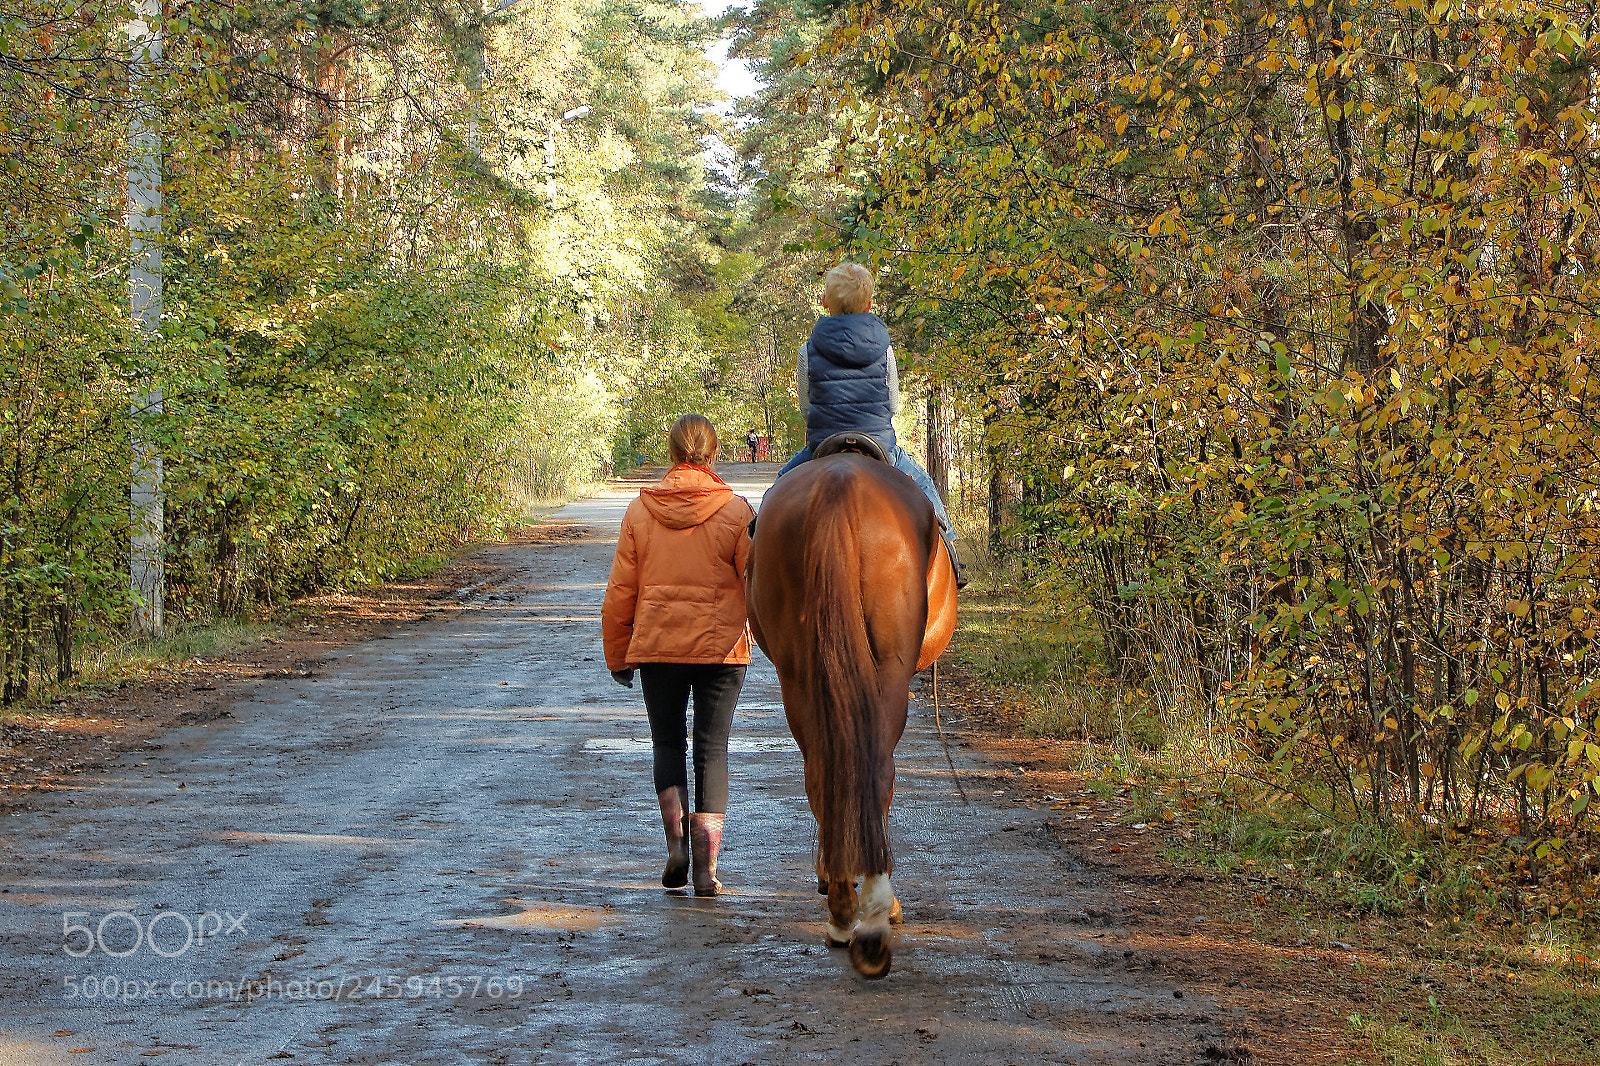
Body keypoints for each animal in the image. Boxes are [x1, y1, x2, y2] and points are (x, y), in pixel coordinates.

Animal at [746, 445, 957, 978]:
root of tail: (839, 484)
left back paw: (845, 903)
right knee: (875, 768)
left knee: (824, 768)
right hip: (889, 671)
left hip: (798, 675)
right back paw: (870, 916)